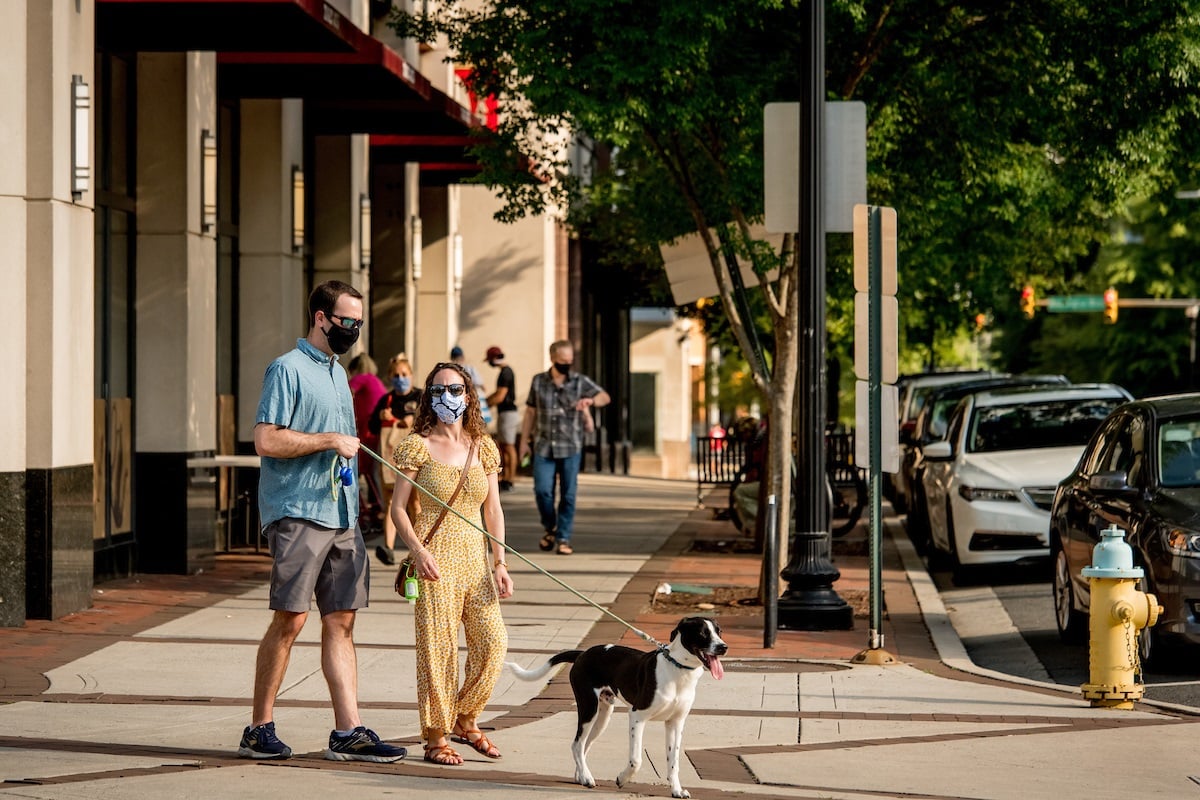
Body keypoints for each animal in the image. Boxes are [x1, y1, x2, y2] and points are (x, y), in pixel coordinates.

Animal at [504, 618, 724, 796]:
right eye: (703, 633)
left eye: (719, 631)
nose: (723, 647)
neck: (678, 669)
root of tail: (583, 653)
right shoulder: (637, 716)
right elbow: (636, 760)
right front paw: (622, 778)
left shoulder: (675, 723)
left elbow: (673, 762)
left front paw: (677, 790)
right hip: (589, 708)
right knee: (577, 744)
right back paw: (586, 777)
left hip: (603, 715)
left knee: (584, 745)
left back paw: (581, 775)